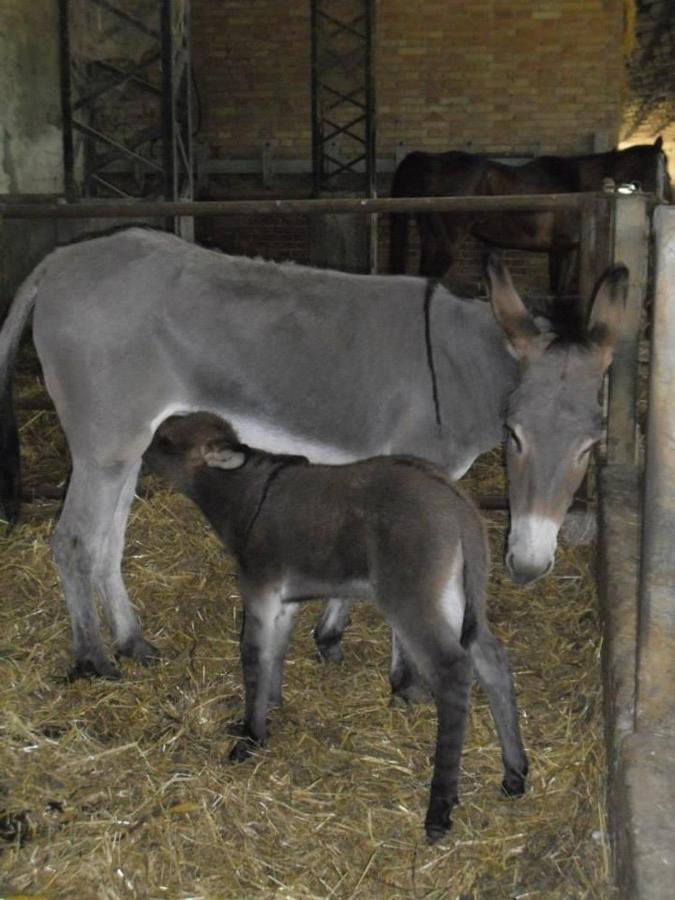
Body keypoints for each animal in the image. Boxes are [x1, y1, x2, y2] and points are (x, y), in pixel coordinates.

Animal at [145, 414, 532, 844]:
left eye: (165, 440)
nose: (140, 455)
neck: (247, 495)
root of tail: (459, 505)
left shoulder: (260, 593)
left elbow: (252, 656)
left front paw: (250, 737)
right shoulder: (284, 602)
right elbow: (275, 652)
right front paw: (272, 704)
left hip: (413, 599)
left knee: (454, 670)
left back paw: (439, 809)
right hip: (454, 597)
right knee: (491, 660)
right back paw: (514, 774)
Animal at [390, 137, 672, 294]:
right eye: (664, 168)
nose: (669, 198)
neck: (577, 184)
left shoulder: (558, 251)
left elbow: (554, 289)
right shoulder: (567, 250)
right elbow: (560, 291)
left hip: (431, 241)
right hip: (447, 244)